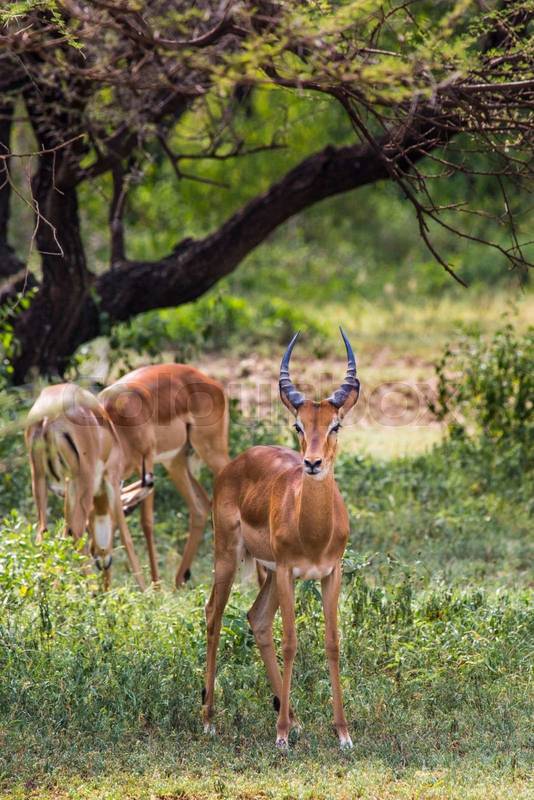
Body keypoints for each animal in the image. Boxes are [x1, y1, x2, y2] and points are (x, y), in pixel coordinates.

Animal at [25, 383, 146, 591]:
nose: (103, 560)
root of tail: (48, 417)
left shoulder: (68, 489)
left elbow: (63, 533)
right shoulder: (112, 481)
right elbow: (127, 537)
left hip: (39, 478)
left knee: (43, 531)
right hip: (85, 481)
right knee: (76, 531)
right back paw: (89, 589)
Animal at [98, 363, 230, 587]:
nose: (100, 562)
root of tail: (211, 382)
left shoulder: (148, 460)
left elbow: (147, 523)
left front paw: (155, 586)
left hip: (212, 453)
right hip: (176, 462)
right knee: (200, 507)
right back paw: (179, 580)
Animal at [202, 328, 360, 750]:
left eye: (335, 425)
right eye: (298, 426)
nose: (312, 463)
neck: (315, 533)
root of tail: (236, 463)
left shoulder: (330, 573)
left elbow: (332, 642)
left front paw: (342, 733)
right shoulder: (290, 571)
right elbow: (290, 642)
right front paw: (282, 736)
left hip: (270, 573)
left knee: (256, 619)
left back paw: (294, 716)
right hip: (229, 556)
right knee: (213, 614)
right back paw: (208, 718)